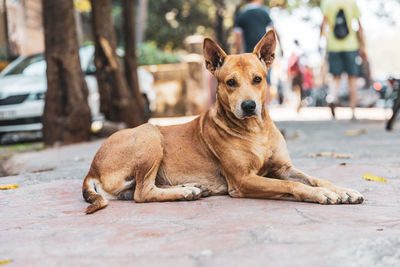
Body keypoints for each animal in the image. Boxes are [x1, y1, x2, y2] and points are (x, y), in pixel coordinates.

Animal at [83, 31, 364, 215]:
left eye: (257, 79)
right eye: (231, 82)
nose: (249, 106)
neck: (256, 131)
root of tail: (91, 169)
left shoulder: (283, 167)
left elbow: (314, 178)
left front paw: (341, 189)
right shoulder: (243, 180)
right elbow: (292, 185)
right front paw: (321, 195)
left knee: (139, 190)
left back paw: (192, 187)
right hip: (149, 134)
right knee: (142, 193)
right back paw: (185, 192)